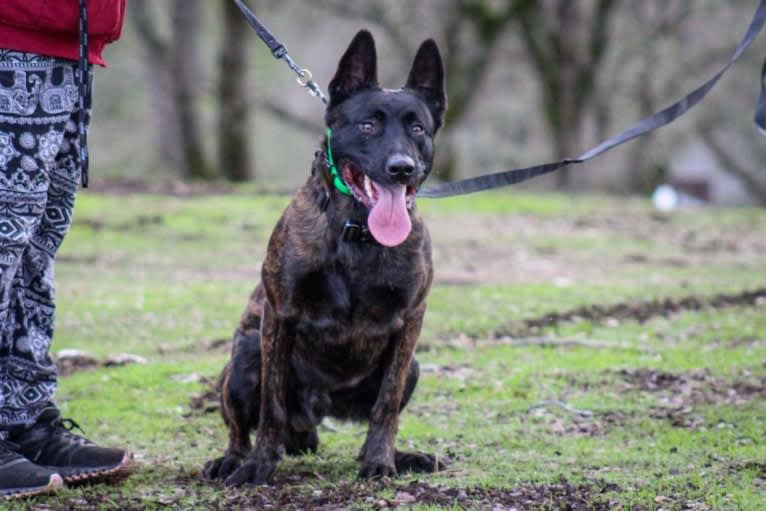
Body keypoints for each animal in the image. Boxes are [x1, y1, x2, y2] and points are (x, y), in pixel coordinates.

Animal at [204, 30, 450, 486]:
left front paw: (380, 461)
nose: (401, 168)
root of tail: (314, 416)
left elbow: (386, 404)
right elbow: (271, 406)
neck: (359, 232)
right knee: (241, 424)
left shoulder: (411, 319)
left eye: (418, 128)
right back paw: (234, 458)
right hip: (244, 355)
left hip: (414, 366)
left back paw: (402, 456)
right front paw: (258, 467)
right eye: (367, 125)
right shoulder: (279, 316)